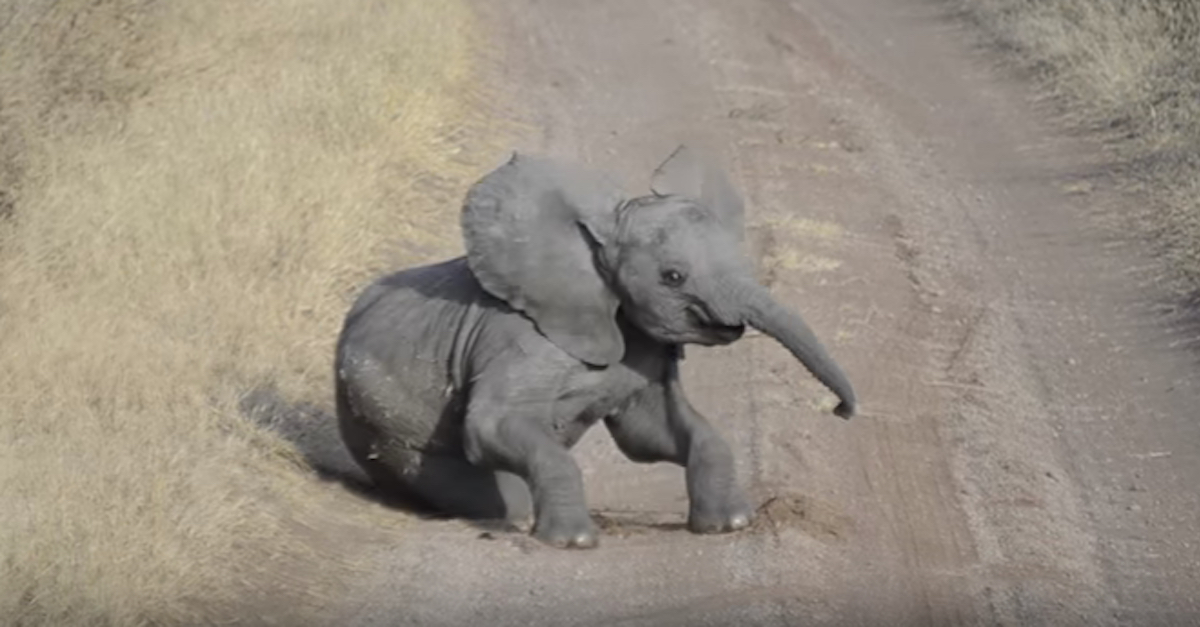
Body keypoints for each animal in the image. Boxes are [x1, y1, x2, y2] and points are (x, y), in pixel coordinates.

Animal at [334, 146, 857, 549]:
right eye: (673, 276)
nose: (841, 412)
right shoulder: (520, 340)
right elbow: (492, 425)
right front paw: (573, 542)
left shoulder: (641, 344)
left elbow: (649, 431)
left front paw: (730, 525)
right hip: (388, 434)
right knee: (489, 490)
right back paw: (520, 519)